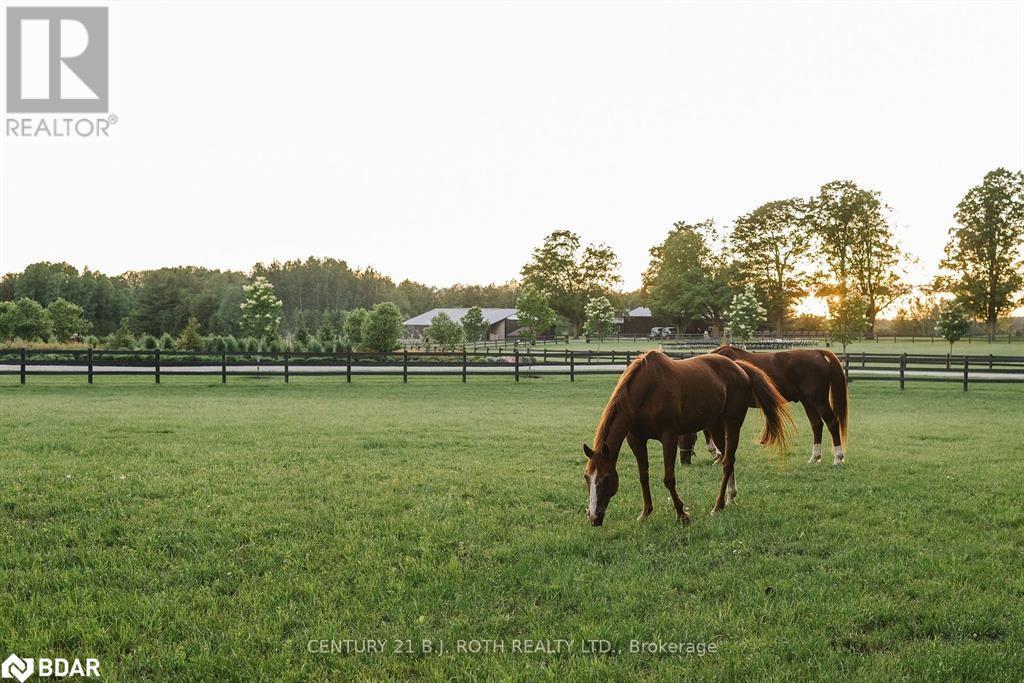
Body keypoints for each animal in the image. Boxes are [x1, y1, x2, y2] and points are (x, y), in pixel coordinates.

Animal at [585, 350, 790, 528]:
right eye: (586, 477)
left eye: (606, 478)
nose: (594, 517)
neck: (647, 391)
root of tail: (740, 368)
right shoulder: (636, 440)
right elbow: (643, 476)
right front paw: (645, 513)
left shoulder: (669, 437)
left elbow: (668, 478)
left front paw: (682, 514)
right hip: (716, 426)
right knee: (728, 459)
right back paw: (730, 498)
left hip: (732, 423)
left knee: (727, 462)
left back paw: (717, 507)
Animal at [679, 348, 847, 464]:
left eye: (684, 438)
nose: (683, 461)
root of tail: (817, 353)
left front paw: (717, 455)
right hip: (808, 402)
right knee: (816, 425)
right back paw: (814, 458)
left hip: (819, 401)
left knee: (832, 423)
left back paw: (838, 458)